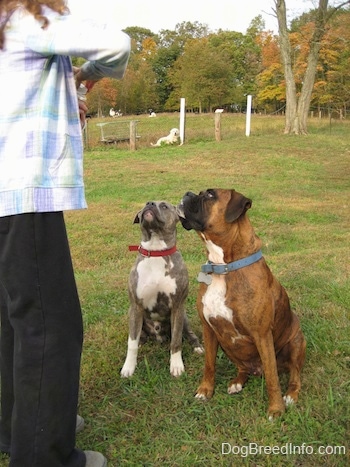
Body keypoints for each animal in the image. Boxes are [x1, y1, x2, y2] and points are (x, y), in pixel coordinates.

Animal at [120, 199, 204, 378]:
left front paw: (176, 365)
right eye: (146, 203)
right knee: (138, 337)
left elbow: (176, 341)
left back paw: (197, 346)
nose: (150, 204)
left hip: (183, 317)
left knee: (189, 334)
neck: (156, 251)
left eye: (164, 206)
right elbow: (132, 343)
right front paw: (129, 367)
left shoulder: (178, 306)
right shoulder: (136, 307)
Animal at [179, 188, 304, 418]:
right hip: (228, 346)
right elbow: (209, 364)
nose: (187, 193)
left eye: (210, 195)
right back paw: (237, 382)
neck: (223, 266)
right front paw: (205, 390)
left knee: (294, 374)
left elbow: (272, 377)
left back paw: (291, 395)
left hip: (296, 343)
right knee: (243, 368)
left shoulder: (262, 335)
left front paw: (275, 409)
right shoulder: (209, 329)